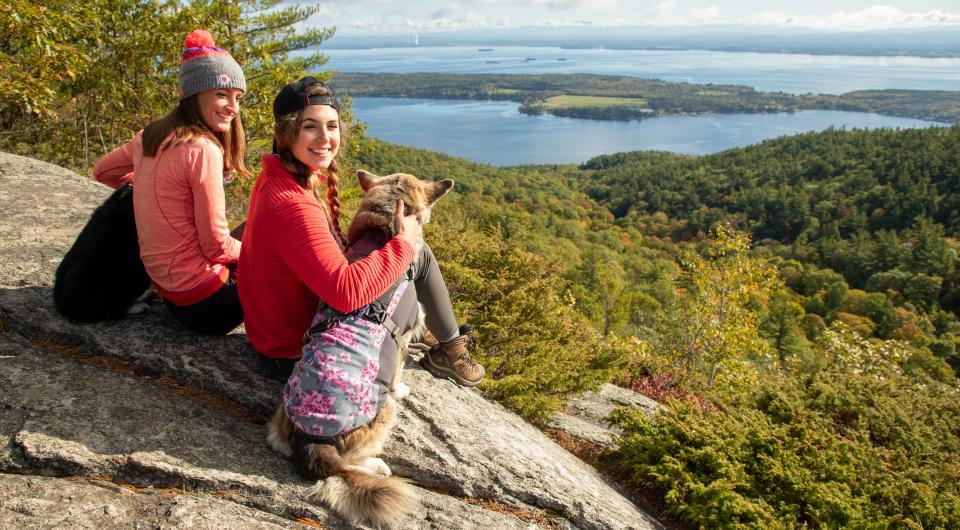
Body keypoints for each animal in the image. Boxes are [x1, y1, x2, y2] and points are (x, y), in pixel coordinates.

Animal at [266, 168, 454, 524]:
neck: (380, 233)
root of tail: (312, 440)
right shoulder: (407, 332)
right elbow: (398, 372)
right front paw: (402, 387)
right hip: (385, 414)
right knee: (351, 462)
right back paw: (376, 466)